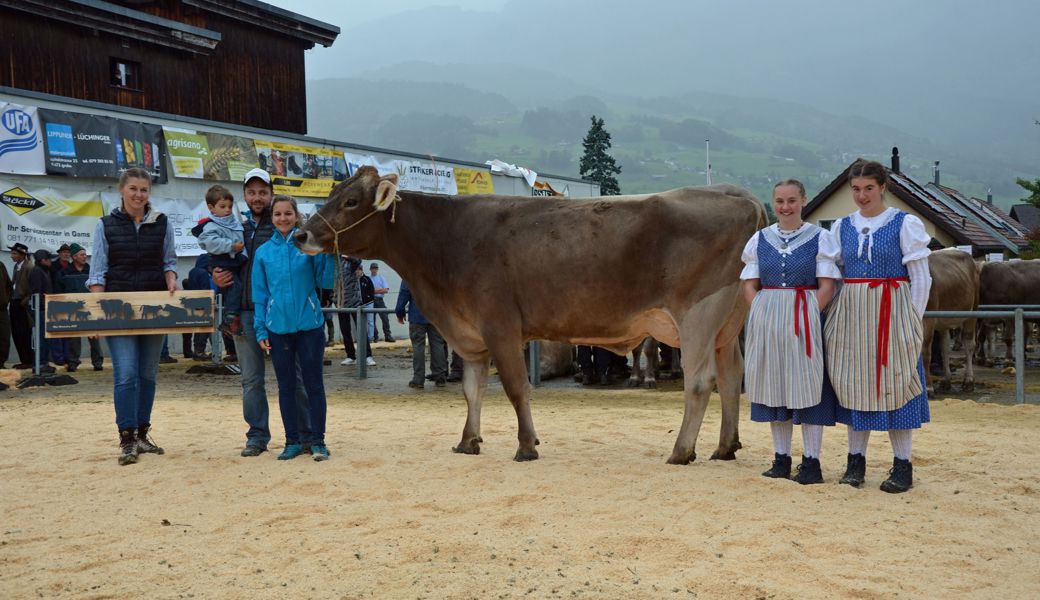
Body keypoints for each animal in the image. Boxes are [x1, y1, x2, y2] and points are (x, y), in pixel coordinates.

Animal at [295, 167, 765, 463]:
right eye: (331, 193)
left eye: (351, 201)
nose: (300, 233)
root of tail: (738, 193)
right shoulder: (470, 336)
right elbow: (472, 390)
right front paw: (468, 441)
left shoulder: (501, 326)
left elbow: (516, 388)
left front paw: (526, 445)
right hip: (728, 324)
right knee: (731, 377)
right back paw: (725, 448)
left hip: (699, 313)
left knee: (701, 382)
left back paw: (681, 451)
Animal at [923, 247, 977, 393]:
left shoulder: (927, 320)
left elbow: (925, 352)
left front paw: (928, 387)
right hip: (944, 321)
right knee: (945, 348)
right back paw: (946, 381)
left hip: (972, 312)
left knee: (969, 344)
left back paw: (968, 381)